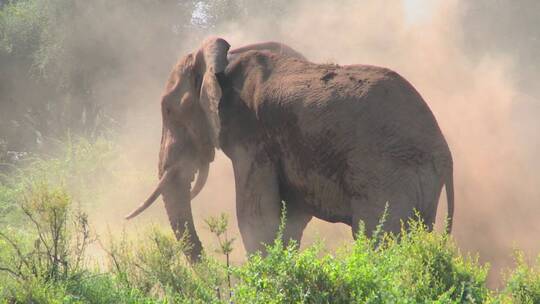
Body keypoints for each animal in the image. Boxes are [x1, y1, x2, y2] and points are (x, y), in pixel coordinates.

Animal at [125, 37, 452, 262]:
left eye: (168, 110)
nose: (210, 268)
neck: (223, 63)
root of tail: (445, 153)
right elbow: (290, 217)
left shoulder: (251, 136)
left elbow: (255, 215)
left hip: (388, 173)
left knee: (378, 237)